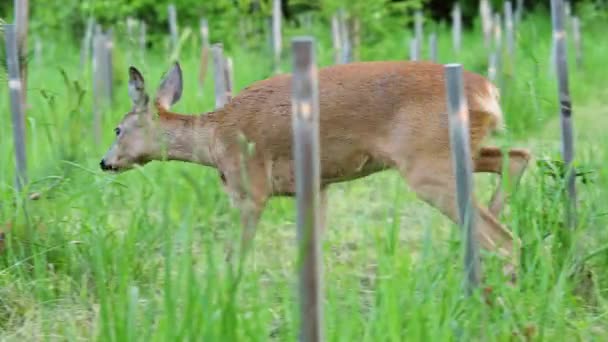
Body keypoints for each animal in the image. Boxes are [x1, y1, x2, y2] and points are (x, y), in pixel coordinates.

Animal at [98, 60, 528, 280]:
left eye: (118, 129)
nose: (105, 161)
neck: (215, 138)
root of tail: (488, 92)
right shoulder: (319, 184)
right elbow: (312, 246)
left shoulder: (250, 187)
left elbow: (237, 251)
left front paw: (226, 291)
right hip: (457, 152)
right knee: (517, 155)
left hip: (427, 165)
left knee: (507, 239)